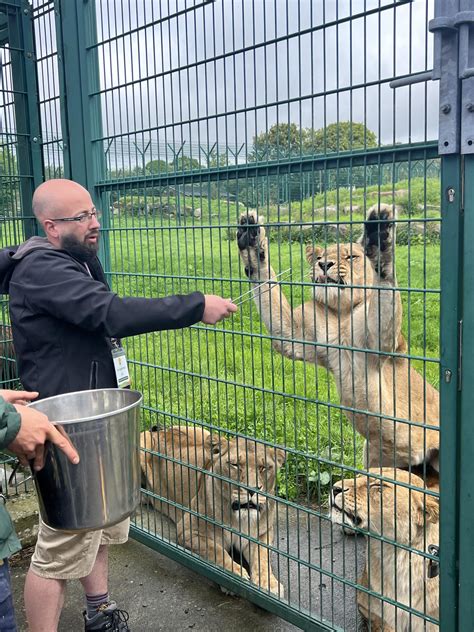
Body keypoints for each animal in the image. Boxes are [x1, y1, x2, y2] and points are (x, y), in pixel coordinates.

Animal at [140, 428, 286, 596]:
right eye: (235, 464)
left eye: (263, 468)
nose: (251, 490)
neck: (239, 518)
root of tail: (162, 430)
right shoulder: (187, 530)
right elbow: (216, 550)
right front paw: (234, 577)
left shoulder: (262, 534)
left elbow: (262, 557)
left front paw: (269, 584)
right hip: (142, 440)